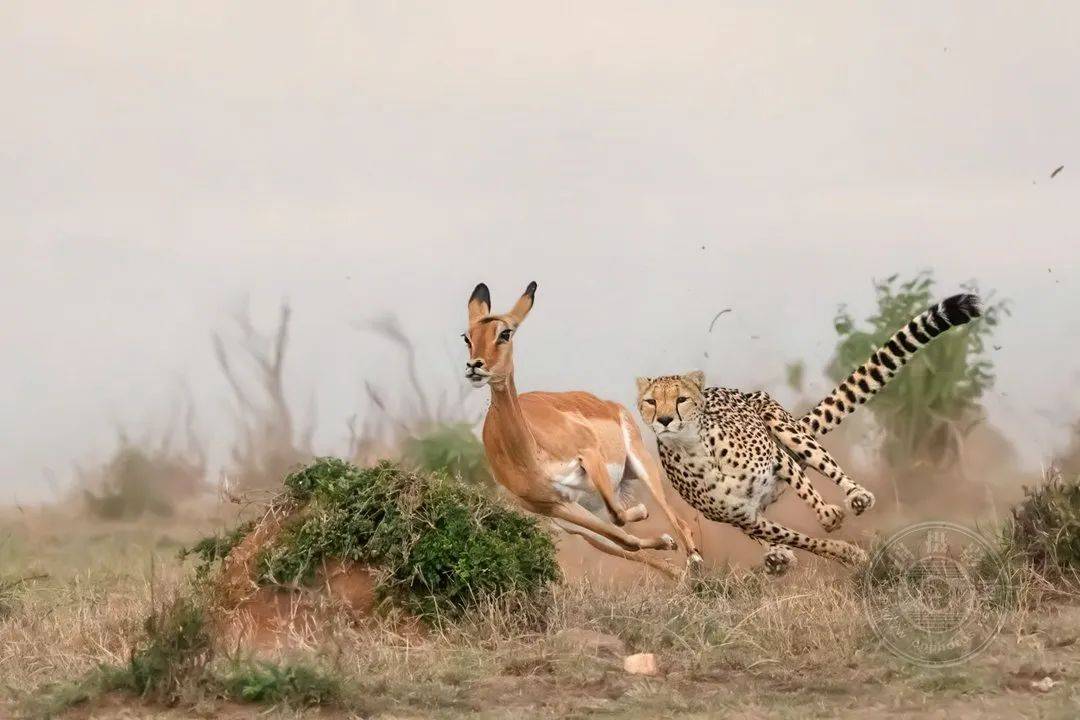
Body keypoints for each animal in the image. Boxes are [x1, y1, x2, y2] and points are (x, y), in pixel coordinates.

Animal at [635, 293, 984, 574]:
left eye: (681, 399)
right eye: (651, 402)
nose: (664, 419)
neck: (696, 450)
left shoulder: (777, 458)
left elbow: (806, 488)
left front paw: (828, 514)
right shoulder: (744, 516)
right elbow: (798, 538)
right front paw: (843, 553)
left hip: (782, 425)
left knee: (823, 462)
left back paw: (856, 495)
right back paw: (777, 556)